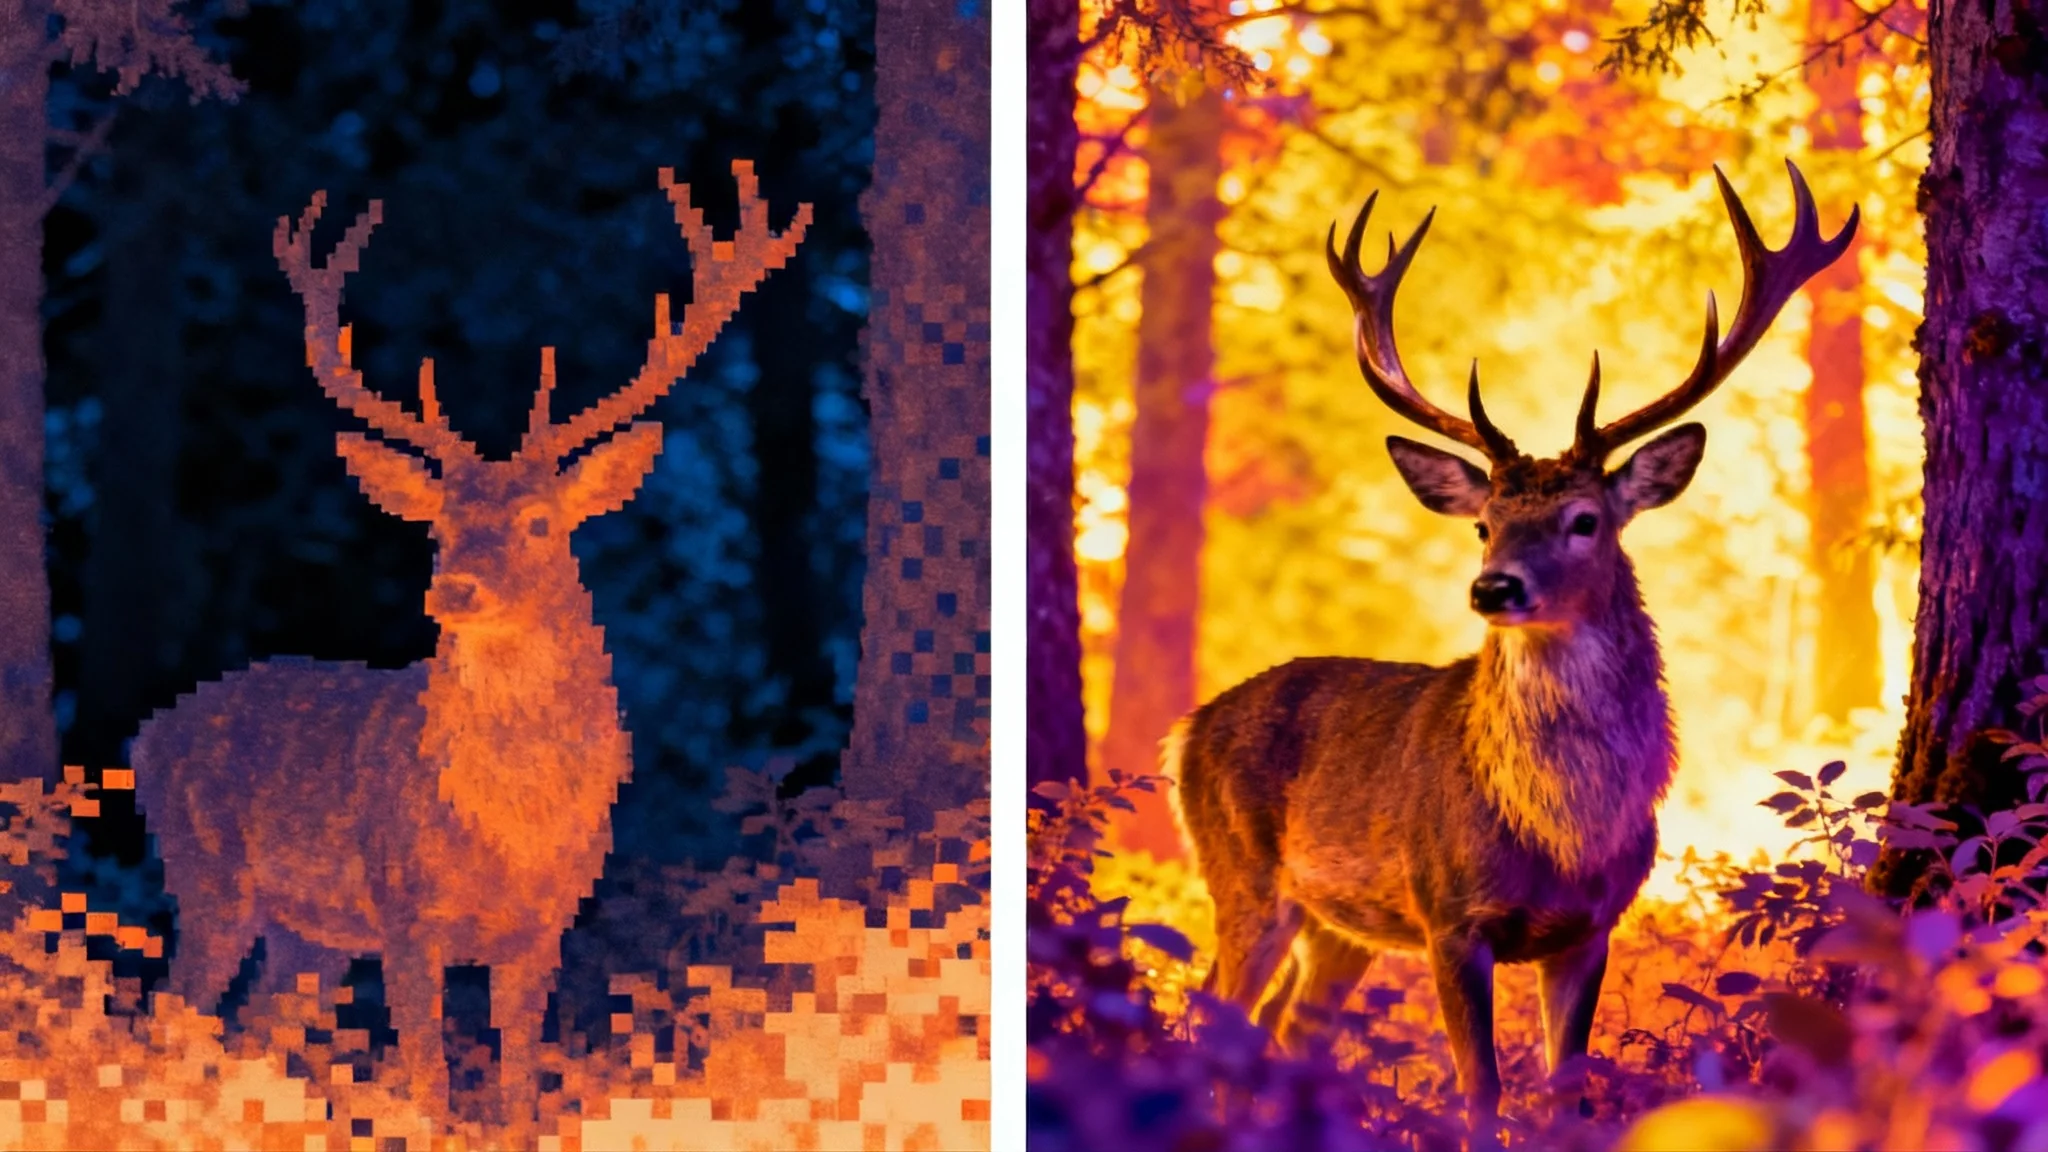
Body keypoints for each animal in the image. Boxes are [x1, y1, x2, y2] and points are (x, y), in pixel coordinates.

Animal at [132, 161, 808, 1136]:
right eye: (440, 527)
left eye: (538, 523)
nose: (455, 589)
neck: (510, 830)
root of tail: (146, 733)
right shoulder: (406, 912)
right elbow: (432, 1086)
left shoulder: (545, 925)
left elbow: (518, 1088)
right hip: (208, 874)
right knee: (166, 1020)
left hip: (306, 935)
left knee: (252, 1031)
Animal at [1165, 161, 1856, 1139]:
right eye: (1484, 523)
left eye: (1585, 519)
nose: (1494, 589)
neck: (1557, 829)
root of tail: (1187, 729)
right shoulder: (1450, 913)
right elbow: (1479, 1088)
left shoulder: (1593, 926)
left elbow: (1567, 1083)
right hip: (1242, 872)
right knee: (1207, 1016)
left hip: (1336, 925)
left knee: (1287, 1032)